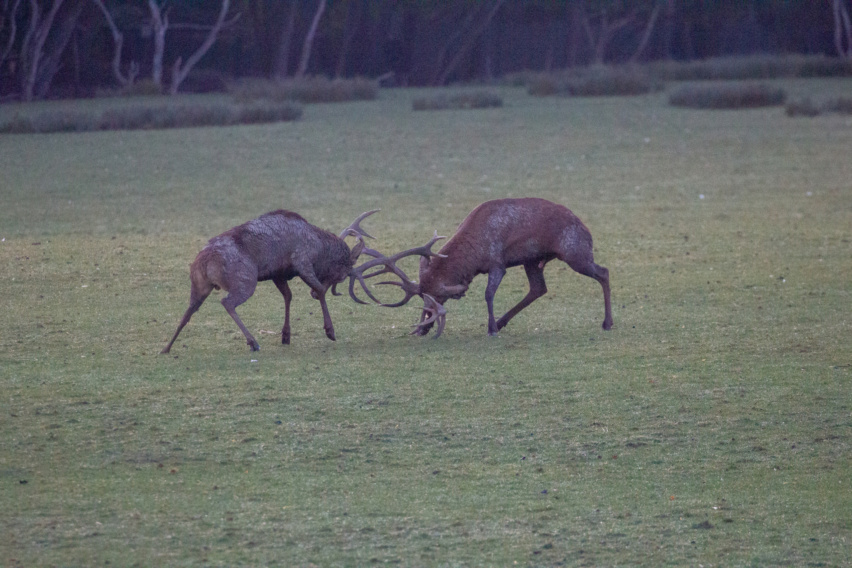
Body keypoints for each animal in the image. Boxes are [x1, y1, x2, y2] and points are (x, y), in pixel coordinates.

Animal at [161, 209, 378, 353]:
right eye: (342, 274)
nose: (337, 283)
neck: (319, 248)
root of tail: (205, 260)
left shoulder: (278, 274)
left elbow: (288, 296)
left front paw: (286, 335)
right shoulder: (302, 261)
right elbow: (319, 290)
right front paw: (330, 331)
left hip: (199, 285)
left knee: (189, 310)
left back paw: (166, 347)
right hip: (245, 280)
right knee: (227, 302)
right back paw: (253, 342)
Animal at [349, 198, 612, 338]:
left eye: (437, 298)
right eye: (424, 299)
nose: (423, 329)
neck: (473, 257)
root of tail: (585, 228)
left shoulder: (497, 263)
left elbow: (488, 294)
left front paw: (491, 328)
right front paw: (494, 325)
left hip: (575, 252)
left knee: (604, 272)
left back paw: (607, 322)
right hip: (532, 260)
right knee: (539, 288)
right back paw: (504, 321)